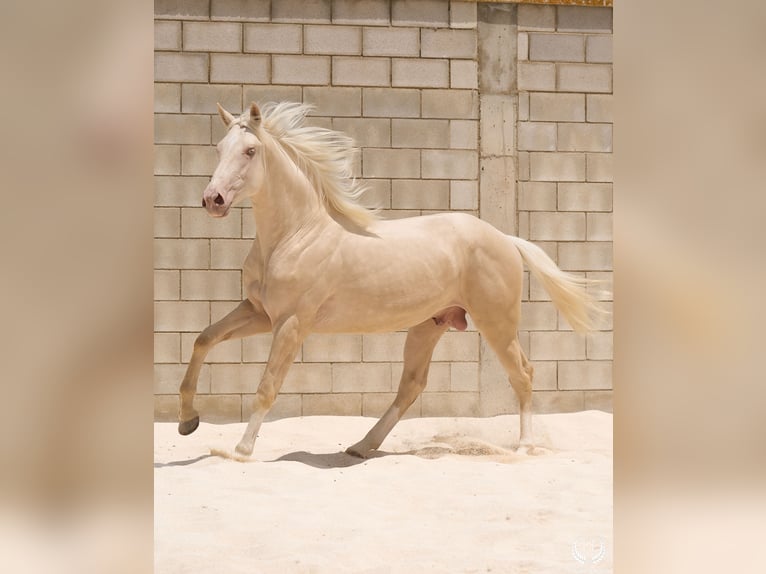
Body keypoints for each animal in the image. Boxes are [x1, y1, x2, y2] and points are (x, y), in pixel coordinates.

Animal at [177, 101, 600, 458]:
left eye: (250, 151)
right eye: (219, 148)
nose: (213, 199)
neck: (295, 235)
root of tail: (505, 238)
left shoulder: (291, 324)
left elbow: (267, 386)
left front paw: (239, 450)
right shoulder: (259, 313)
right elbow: (203, 339)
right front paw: (187, 422)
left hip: (496, 323)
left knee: (522, 375)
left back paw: (525, 446)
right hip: (430, 325)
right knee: (411, 385)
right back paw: (361, 447)